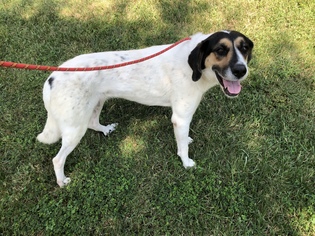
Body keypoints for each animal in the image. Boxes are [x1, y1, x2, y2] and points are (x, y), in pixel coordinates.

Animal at [37, 30, 254, 187]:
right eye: (220, 50)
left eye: (244, 48)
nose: (241, 70)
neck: (194, 67)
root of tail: (51, 78)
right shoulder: (181, 118)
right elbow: (182, 148)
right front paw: (186, 163)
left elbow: (184, 139)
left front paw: (187, 140)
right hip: (75, 127)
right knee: (58, 159)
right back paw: (61, 181)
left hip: (96, 103)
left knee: (92, 122)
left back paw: (106, 129)